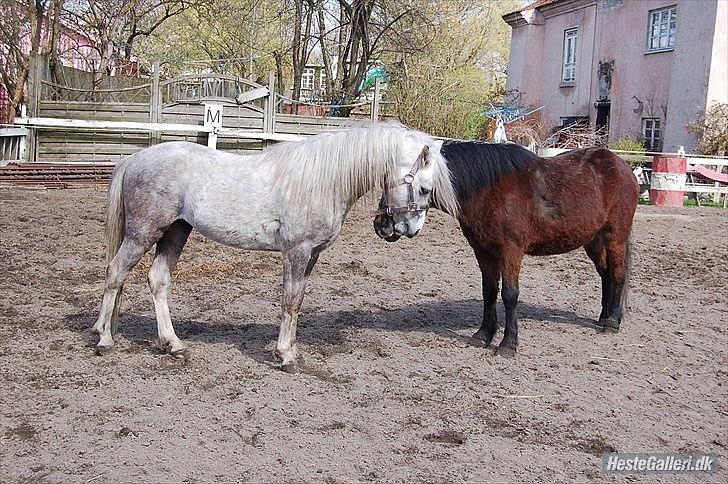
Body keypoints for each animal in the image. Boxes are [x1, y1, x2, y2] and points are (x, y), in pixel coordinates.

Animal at [91, 122, 456, 370]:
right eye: (424, 188)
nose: (409, 229)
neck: (322, 180)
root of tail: (135, 159)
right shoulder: (296, 251)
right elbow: (290, 301)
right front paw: (286, 356)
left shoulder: (312, 255)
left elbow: (298, 301)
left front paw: (291, 349)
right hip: (143, 233)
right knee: (115, 273)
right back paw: (104, 338)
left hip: (175, 232)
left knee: (157, 280)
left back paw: (172, 343)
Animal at [376, 142, 636, 358]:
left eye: (409, 184)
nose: (382, 224)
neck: (491, 189)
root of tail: (623, 166)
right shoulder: (483, 250)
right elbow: (489, 291)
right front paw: (483, 335)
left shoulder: (511, 250)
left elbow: (510, 294)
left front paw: (508, 344)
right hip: (593, 240)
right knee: (605, 273)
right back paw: (603, 317)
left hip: (616, 235)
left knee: (617, 273)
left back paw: (613, 321)